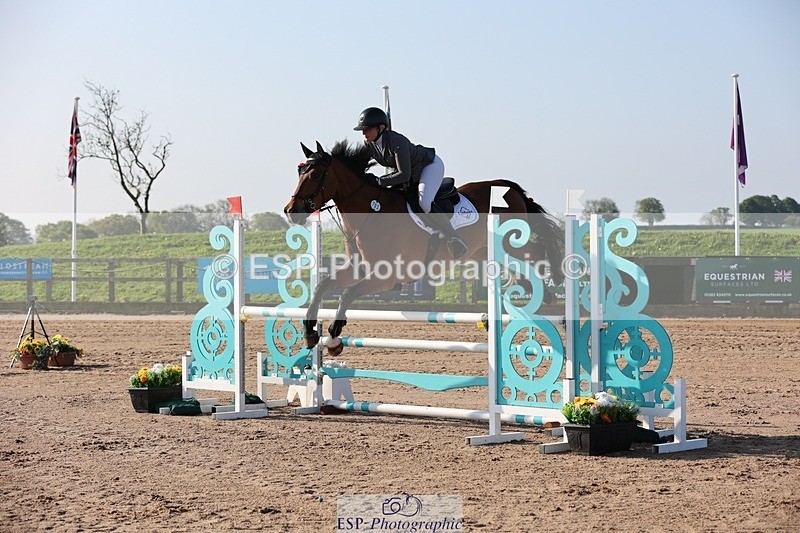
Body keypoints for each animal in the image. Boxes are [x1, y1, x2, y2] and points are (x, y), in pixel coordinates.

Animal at [283, 140, 563, 355]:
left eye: (315, 175)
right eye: (299, 173)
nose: (291, 211)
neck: (370, 213)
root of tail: (508, 186)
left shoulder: (386, 278)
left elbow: (346, 294)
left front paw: (333, 336)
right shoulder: (358, 268)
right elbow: (323, 285)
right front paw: (310, 332)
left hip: (509, 242)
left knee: (537, 251)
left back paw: (548, 288)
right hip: (485, 249)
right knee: (519, 264)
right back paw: (532, 288)